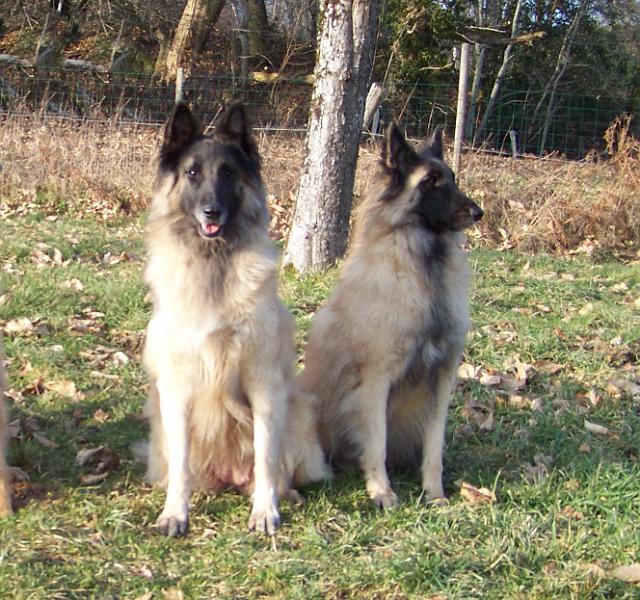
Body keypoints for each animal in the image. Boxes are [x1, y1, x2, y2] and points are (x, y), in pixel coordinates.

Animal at [143, 101, 328, 536]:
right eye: (193, 173)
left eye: (227, 173)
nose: (212, 211)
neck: (215, 263)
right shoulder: (176, 387)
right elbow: (180, 467)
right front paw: (175, 513)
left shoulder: (263, 381)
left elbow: (266, 456)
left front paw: (265, 510)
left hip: (296, 411)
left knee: (278, 465)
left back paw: (284, 494)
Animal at [298, 124, 480, 508]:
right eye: (430, 182)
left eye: (453, 179)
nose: (477, 212)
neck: (424, 268)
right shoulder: (375, 381)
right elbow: (376, 443)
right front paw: (381, 491)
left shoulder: (441, 379)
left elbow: (434, 447)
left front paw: (435, 493)